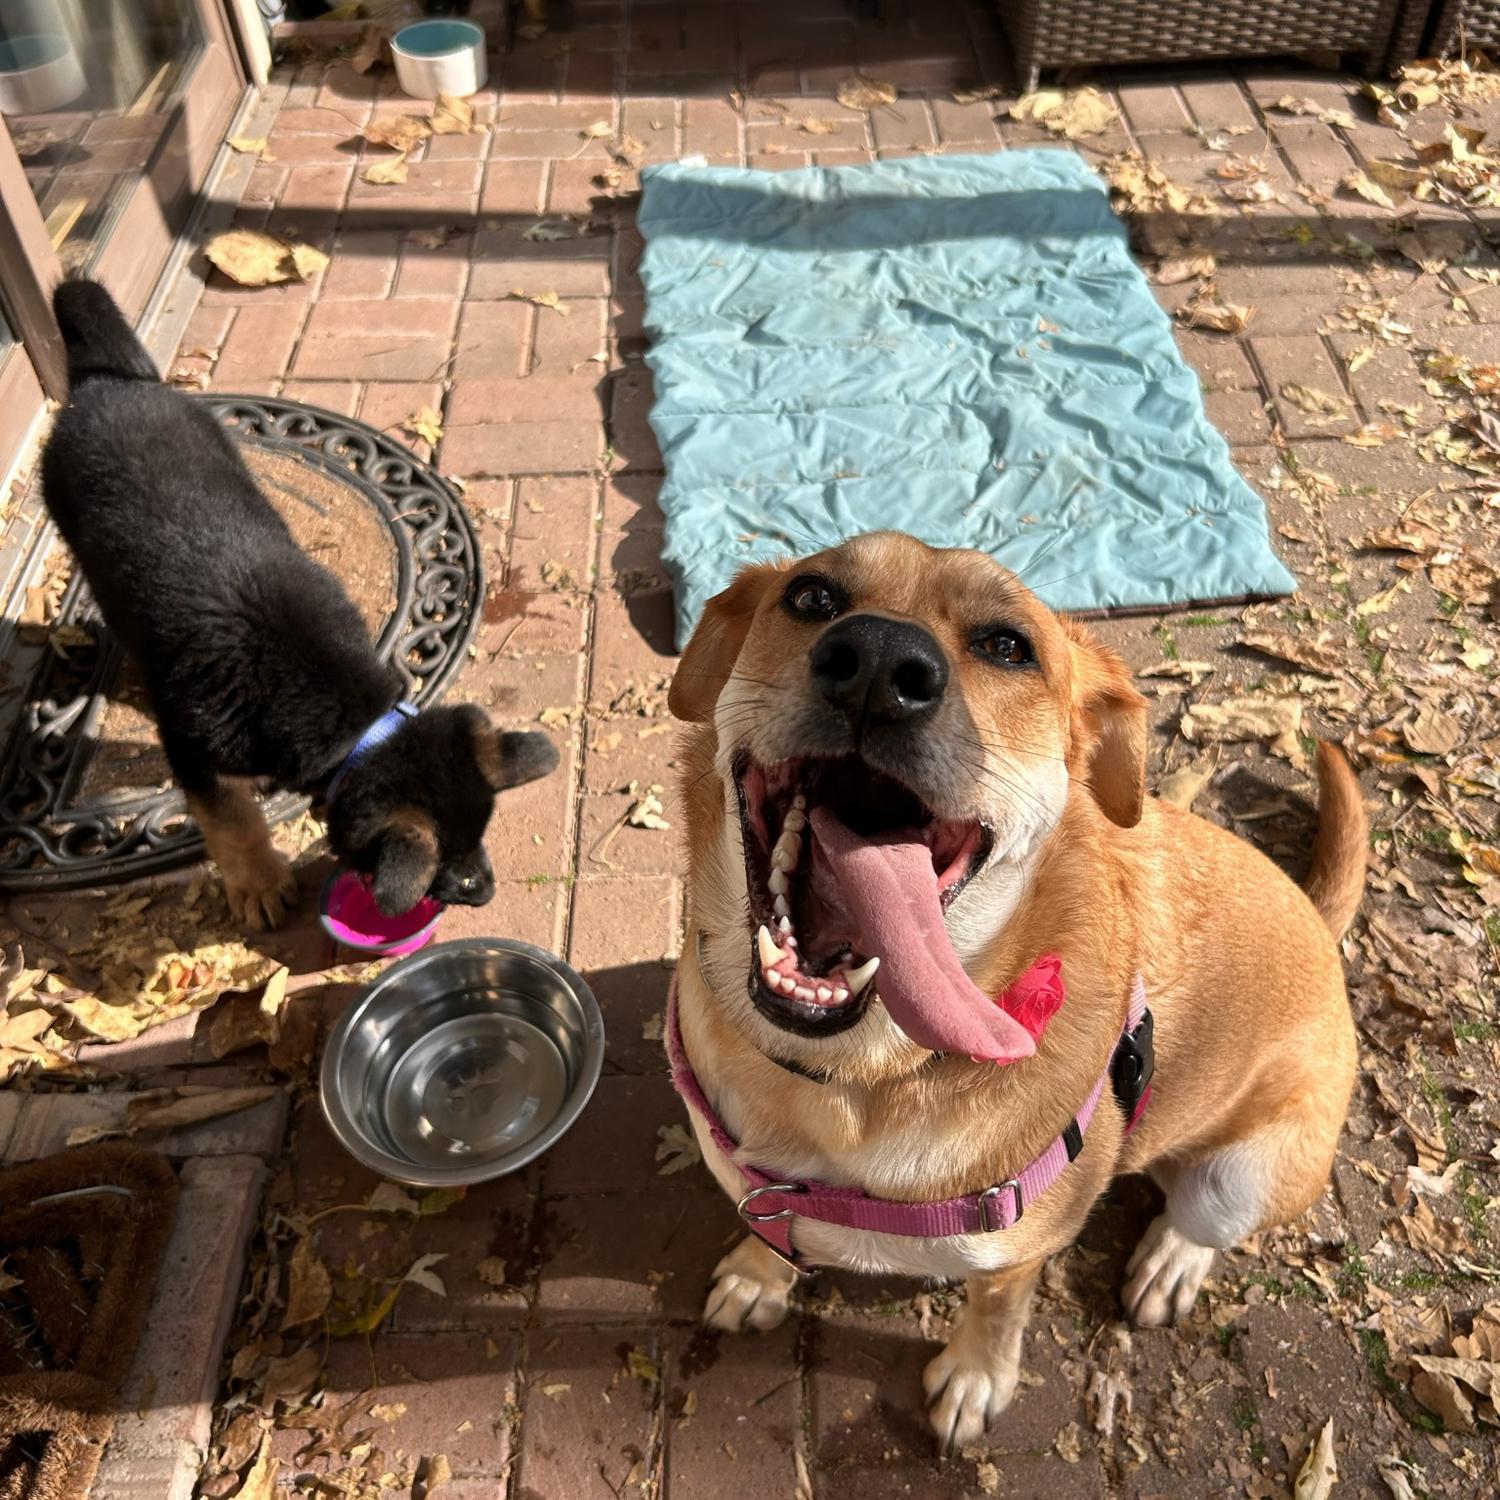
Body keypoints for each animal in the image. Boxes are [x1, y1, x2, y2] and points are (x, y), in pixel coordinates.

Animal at [42, 273, 558, 924]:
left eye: (479, 835)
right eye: (446, 862)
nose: (484, 891)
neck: (338, 708)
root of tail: (105, 383)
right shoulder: (192, 751)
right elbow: (232, 819)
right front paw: (258, 882)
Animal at [666, 534, 1362, 1446]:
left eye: (1007, 647)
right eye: (812, 596)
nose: (878, 662)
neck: (855, 1084)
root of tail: (1318, 921)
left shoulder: (1020, 1251)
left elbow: (997, 1309)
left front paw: (974, 1377)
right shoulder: (761, 1185)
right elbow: (765, 1225)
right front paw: (758, 1275)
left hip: (1242, 1178)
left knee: (1201, 1220)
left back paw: (1172, 1260)